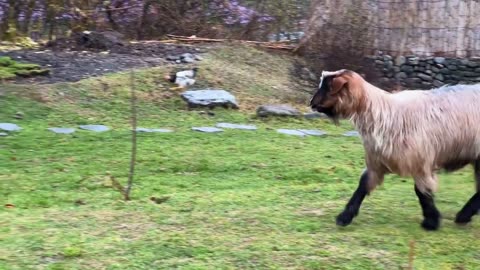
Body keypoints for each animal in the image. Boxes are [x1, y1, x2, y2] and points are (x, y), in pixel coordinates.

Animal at [310, 69, 480, 230]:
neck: (385, 115)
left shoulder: (420, 162)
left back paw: (463, 216)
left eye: (328, 86)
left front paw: (431, 221)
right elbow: (362, 186)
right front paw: (344, 217)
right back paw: (465, 215)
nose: (311, 103)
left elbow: (422, 192)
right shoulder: (376, 164)